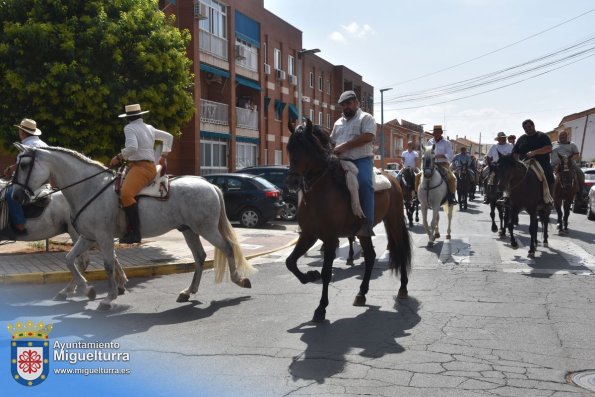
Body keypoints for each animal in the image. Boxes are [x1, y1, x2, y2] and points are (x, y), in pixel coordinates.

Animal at [11, 144, 254, 308]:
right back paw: (188, 291)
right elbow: (69, 259)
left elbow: (108, 264)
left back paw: (240, 280)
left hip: (207, 229)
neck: (89, 188)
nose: (16, 195)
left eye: (24, 164)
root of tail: (209, 184)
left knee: (228, 248)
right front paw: (87, 290)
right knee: (200, 256)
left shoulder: (103, 237)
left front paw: (108, 298)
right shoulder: (88, 237)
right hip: (189, 230)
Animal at [286, 120, 412, 322]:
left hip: (393, 222)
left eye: (306, 147)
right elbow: (290, 262)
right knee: (370, 256)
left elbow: (326, 272)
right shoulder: (308, 234)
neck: (321, 190)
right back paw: (361, 293)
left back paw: (403, 288)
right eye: (289, 147)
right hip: (364, 232)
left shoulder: (330, 238)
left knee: (399, 251)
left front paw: (321, 308)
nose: (292, 182)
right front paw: (309, 276)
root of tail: (393, 178)